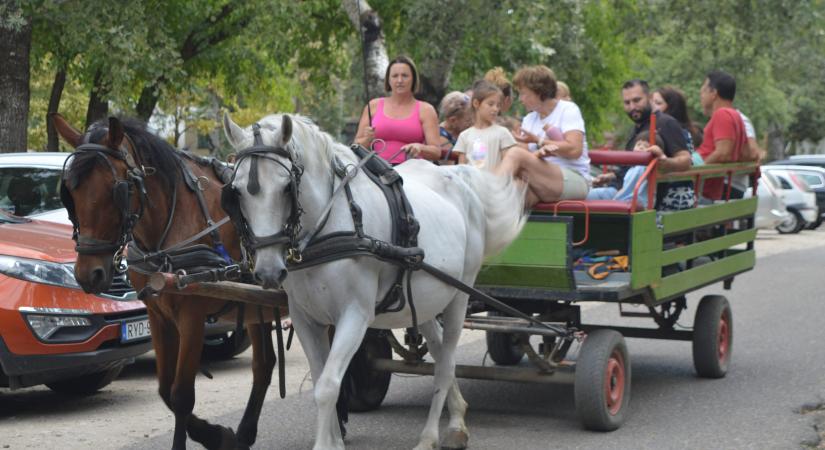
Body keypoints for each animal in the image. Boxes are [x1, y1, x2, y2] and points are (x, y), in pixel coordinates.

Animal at [53, 113, 284, 450]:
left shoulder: (192, 315)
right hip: (256, 305)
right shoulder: (158, 314)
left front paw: (211, 434)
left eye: (117, 190)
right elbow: (165, 390)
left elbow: (182, 395)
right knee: (264, 364)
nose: (88, 274)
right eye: (69, 190)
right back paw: (244, 434)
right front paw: (217, 434)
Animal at [222, 113, 524, 450]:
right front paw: (334, 441)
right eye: (236, 192)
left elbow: (327, 386)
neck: (329, 226)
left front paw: (326, 444)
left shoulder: (355, 314)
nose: (268, 271)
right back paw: (457, 415)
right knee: (439, 353)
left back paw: (435, 434)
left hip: (459, 295)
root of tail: (458, 176)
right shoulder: (305, 318)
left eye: (287, 187)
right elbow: (320, 379)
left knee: (445, 367)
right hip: (426, 300)